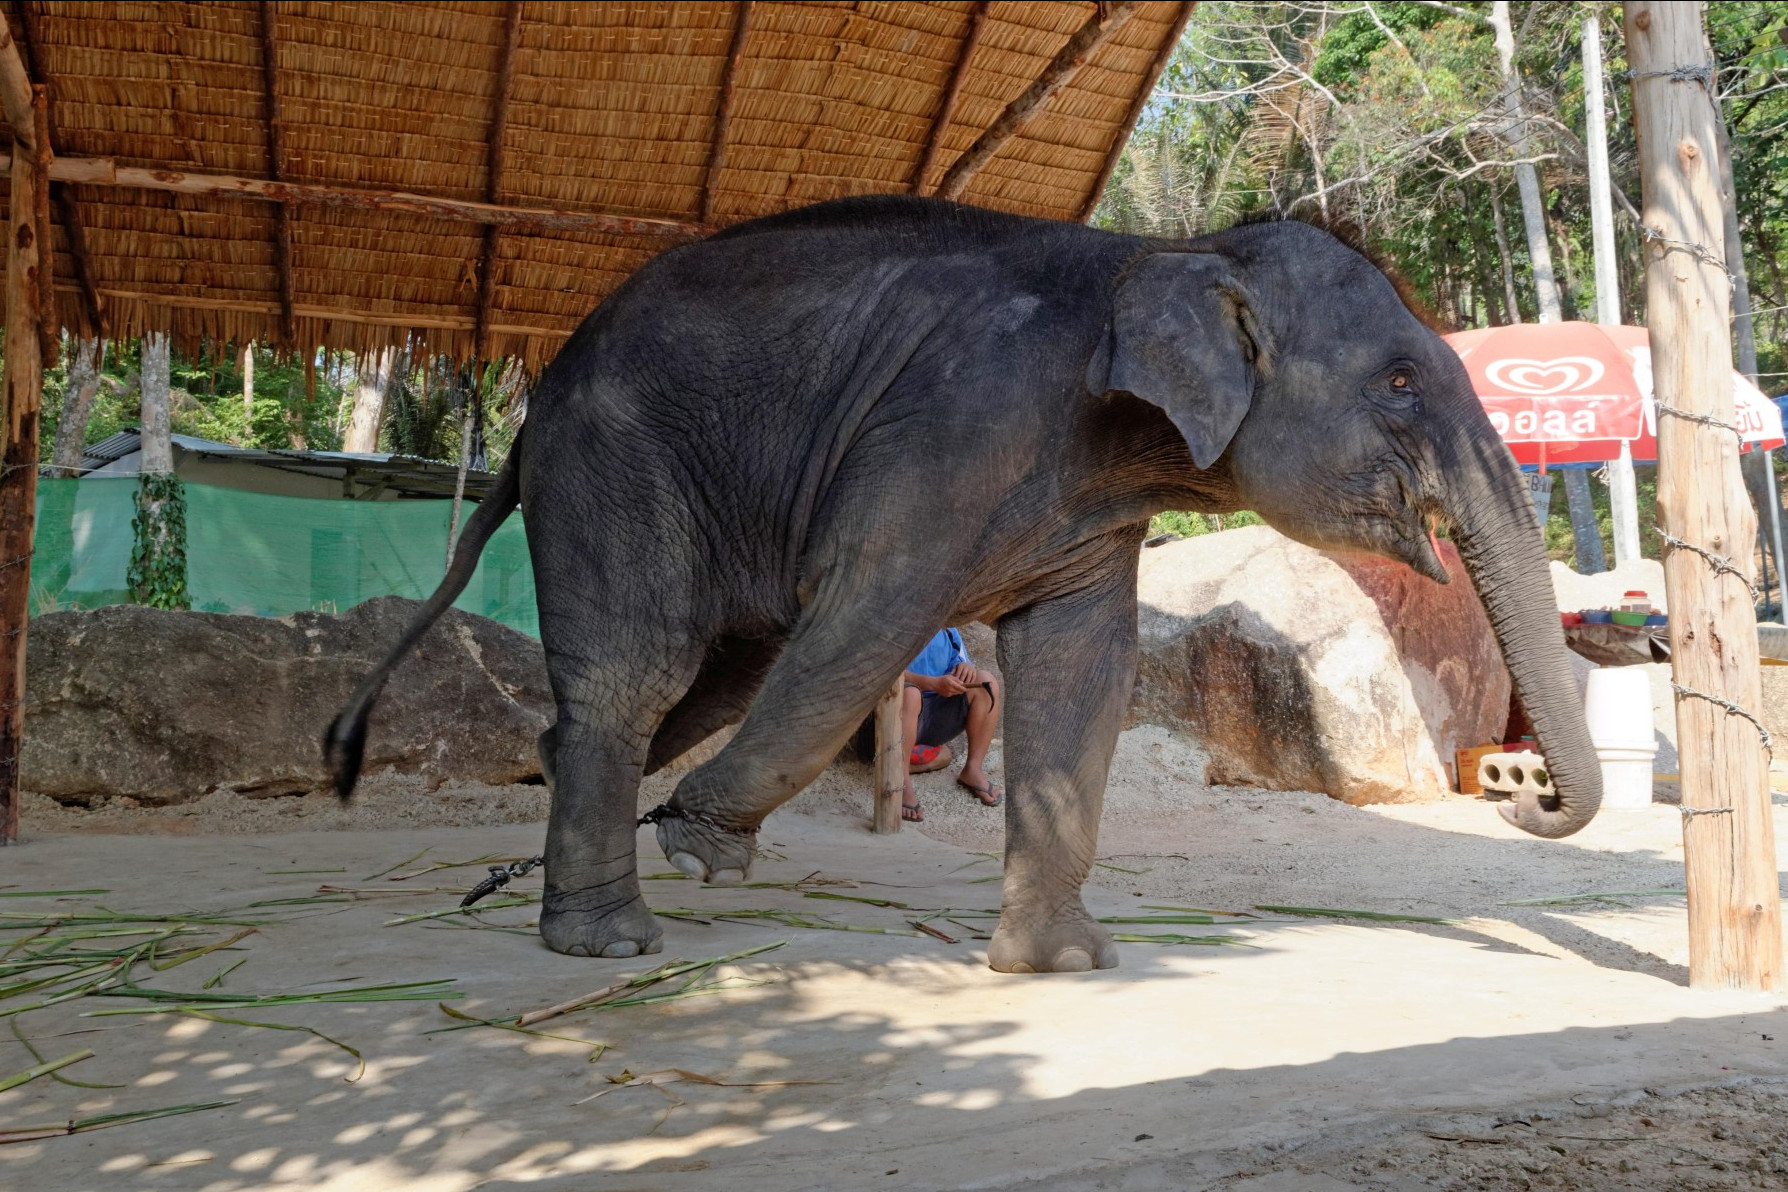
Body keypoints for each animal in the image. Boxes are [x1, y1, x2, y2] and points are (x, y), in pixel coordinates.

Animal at [328, 195, 1602, 972]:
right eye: (1400, 380)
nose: (1520, 789)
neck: (1162, 250)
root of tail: (536, 404)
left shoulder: (1091, 507)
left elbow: (1081, 676)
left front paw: (1063, 966)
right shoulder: (946, 434)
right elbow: (870, 619)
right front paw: (699, 843)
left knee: (706, 679)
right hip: (617, 463)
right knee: (643, 673)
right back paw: (613, 943)